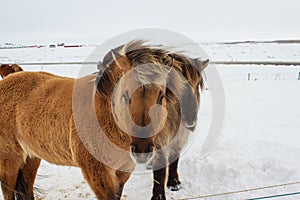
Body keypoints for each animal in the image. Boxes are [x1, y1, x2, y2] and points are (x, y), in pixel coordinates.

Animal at [0, 41, 175, 199]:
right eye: (125, 95)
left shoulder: (122, 170)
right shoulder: (97, 173)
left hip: (31, 157)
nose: (142, 149)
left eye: (161, 96)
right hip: (9, 160)